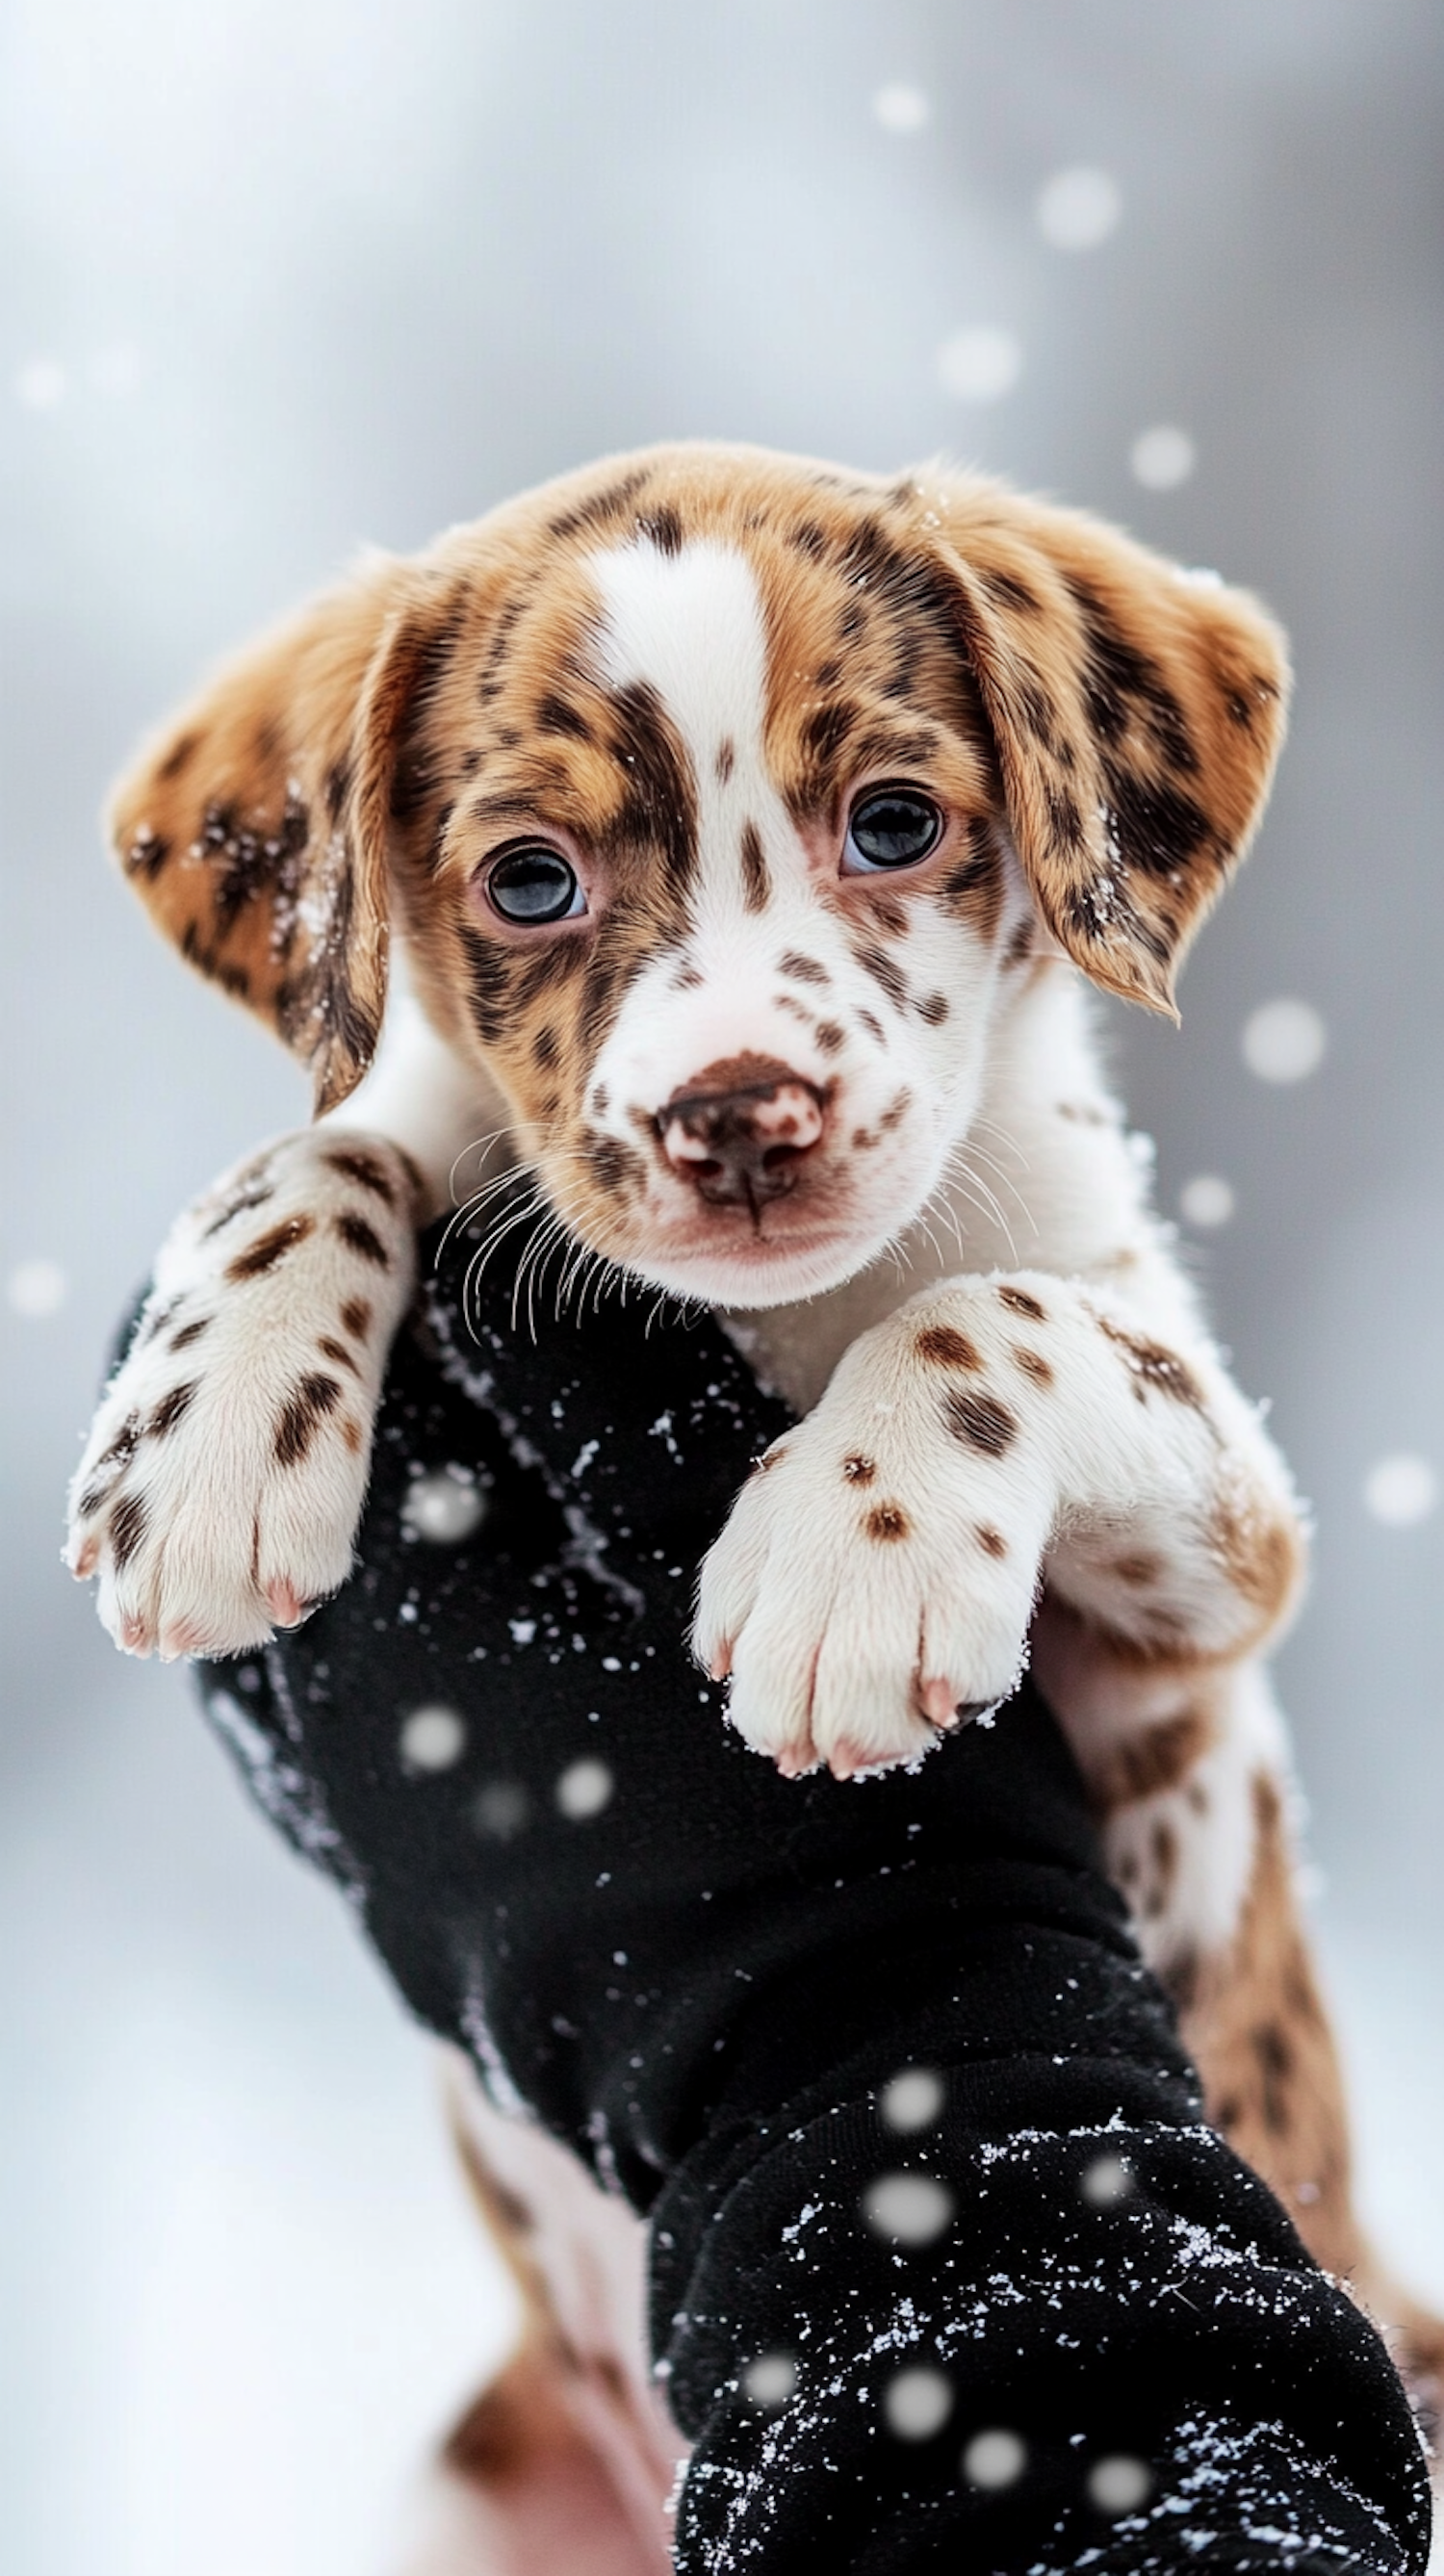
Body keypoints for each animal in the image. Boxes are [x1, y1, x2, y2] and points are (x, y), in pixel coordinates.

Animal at [70, 443, 1441, 2535]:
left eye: (894, 823)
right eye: (529, 881)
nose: (736, 1111)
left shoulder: (1220, 1568)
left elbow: (989, 1309)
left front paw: (849, 1563)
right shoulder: (432, 1142)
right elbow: (335, 1146)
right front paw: (214, 1434)